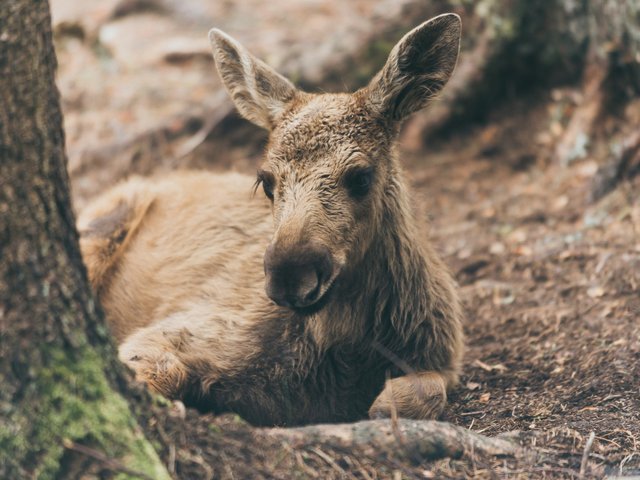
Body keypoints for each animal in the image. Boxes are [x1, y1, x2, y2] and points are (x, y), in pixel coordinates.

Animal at [77, 13, 462, 426]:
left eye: (361, 176)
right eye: (266, 180)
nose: (290, 276)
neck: (341, 353)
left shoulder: (443, 358)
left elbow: (424, 392)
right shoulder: (178, 328)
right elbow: (159, 373)